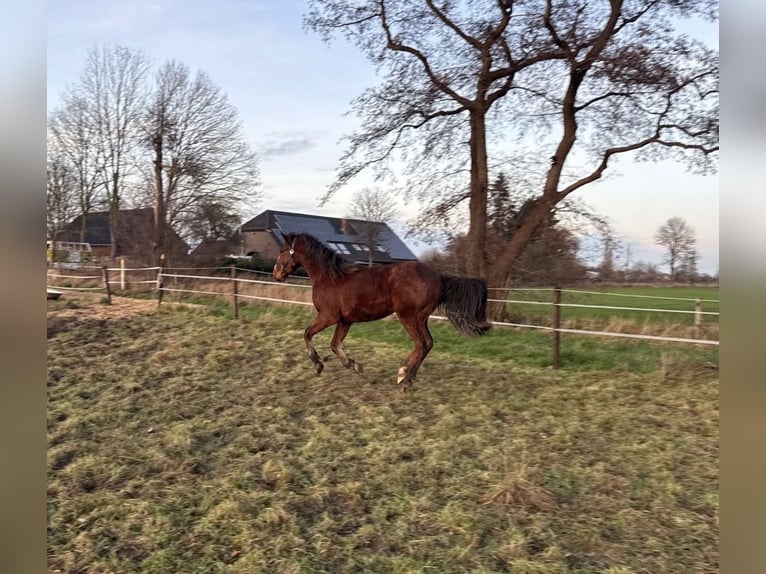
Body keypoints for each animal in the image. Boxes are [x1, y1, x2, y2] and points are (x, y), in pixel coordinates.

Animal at [272, 233, 490, 388]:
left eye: (283, 249)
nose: (277, 273)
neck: (330, 277)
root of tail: (440, 277)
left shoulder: (328, 316)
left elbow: (307, 334)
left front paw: (318, 364)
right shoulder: (345, 321)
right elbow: (335, 345)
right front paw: (354, 365)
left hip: (407, 316)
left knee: (421, 344)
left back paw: (404, 377)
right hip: (421, 318)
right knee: (427, 343)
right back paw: (405, 373)